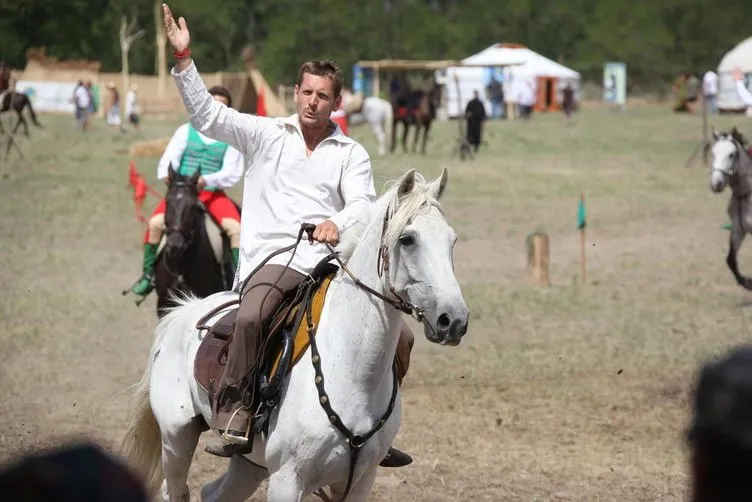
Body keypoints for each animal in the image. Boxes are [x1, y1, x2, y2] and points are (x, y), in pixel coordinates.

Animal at [119, 169, 468, 502]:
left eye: (452, 240)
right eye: (407, 239)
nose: (454, 320)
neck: (351, 371)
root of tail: (184, 311)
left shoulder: (360, 482)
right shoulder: (288, 481)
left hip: (249, 464)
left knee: (212, 493)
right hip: (177, 437)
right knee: (176, 490)